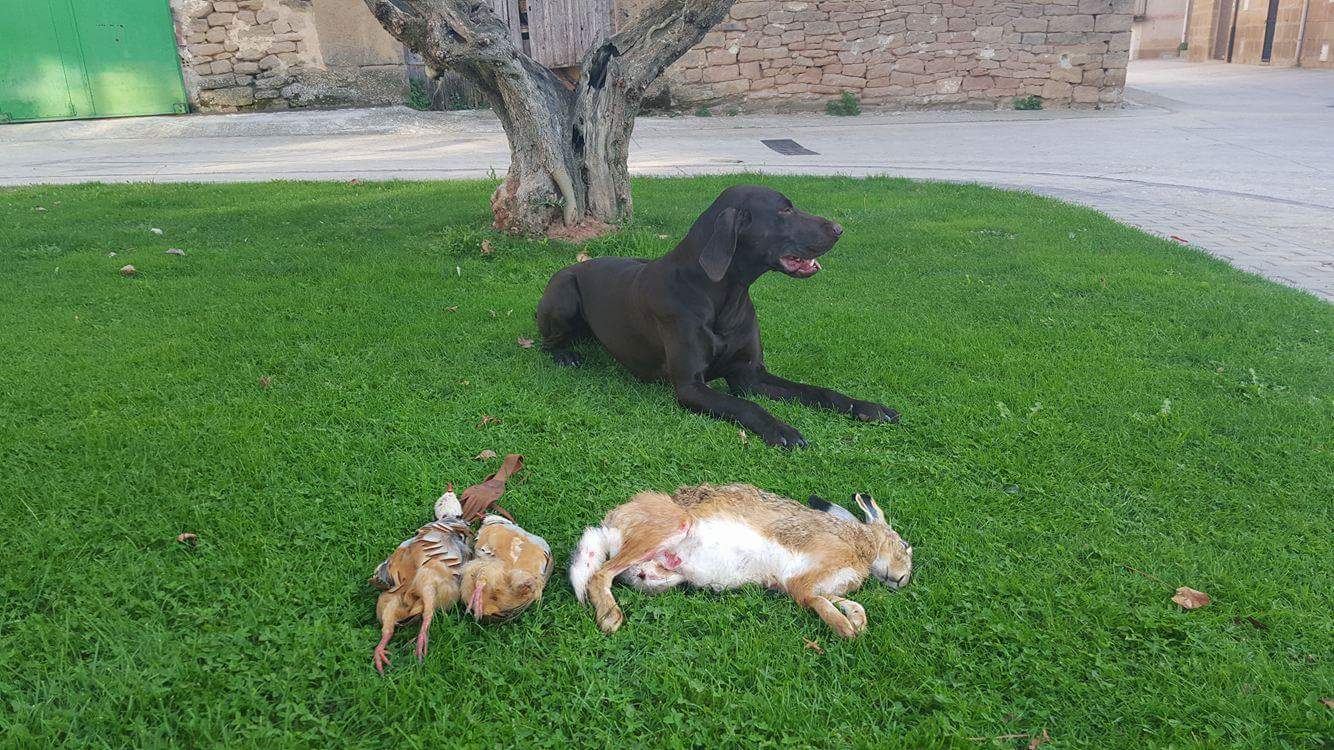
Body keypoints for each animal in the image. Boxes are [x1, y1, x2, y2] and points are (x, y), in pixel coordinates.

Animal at [535, 185, 899, 448]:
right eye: (784, 210)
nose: (839, 229)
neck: (725, 297)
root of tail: (577, 263)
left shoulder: (750, 375)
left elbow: (818, 391)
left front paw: (867, 407)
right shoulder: (690, 386)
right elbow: (746, 406)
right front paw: (781, 429)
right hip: (564, 294)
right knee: (546, 342)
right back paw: (565, 355)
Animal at [568, 483, 913, 638]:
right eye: (905, 546)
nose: (903, 580)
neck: (863, 545)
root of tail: (612, 525)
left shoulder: (828, 583)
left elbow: (850, 603)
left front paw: (858, 621)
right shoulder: (805, 580)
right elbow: (813, 599)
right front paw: (847, 630)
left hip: (665, 577)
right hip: (668, 526)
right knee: (599, 575)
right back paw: (611, 618)